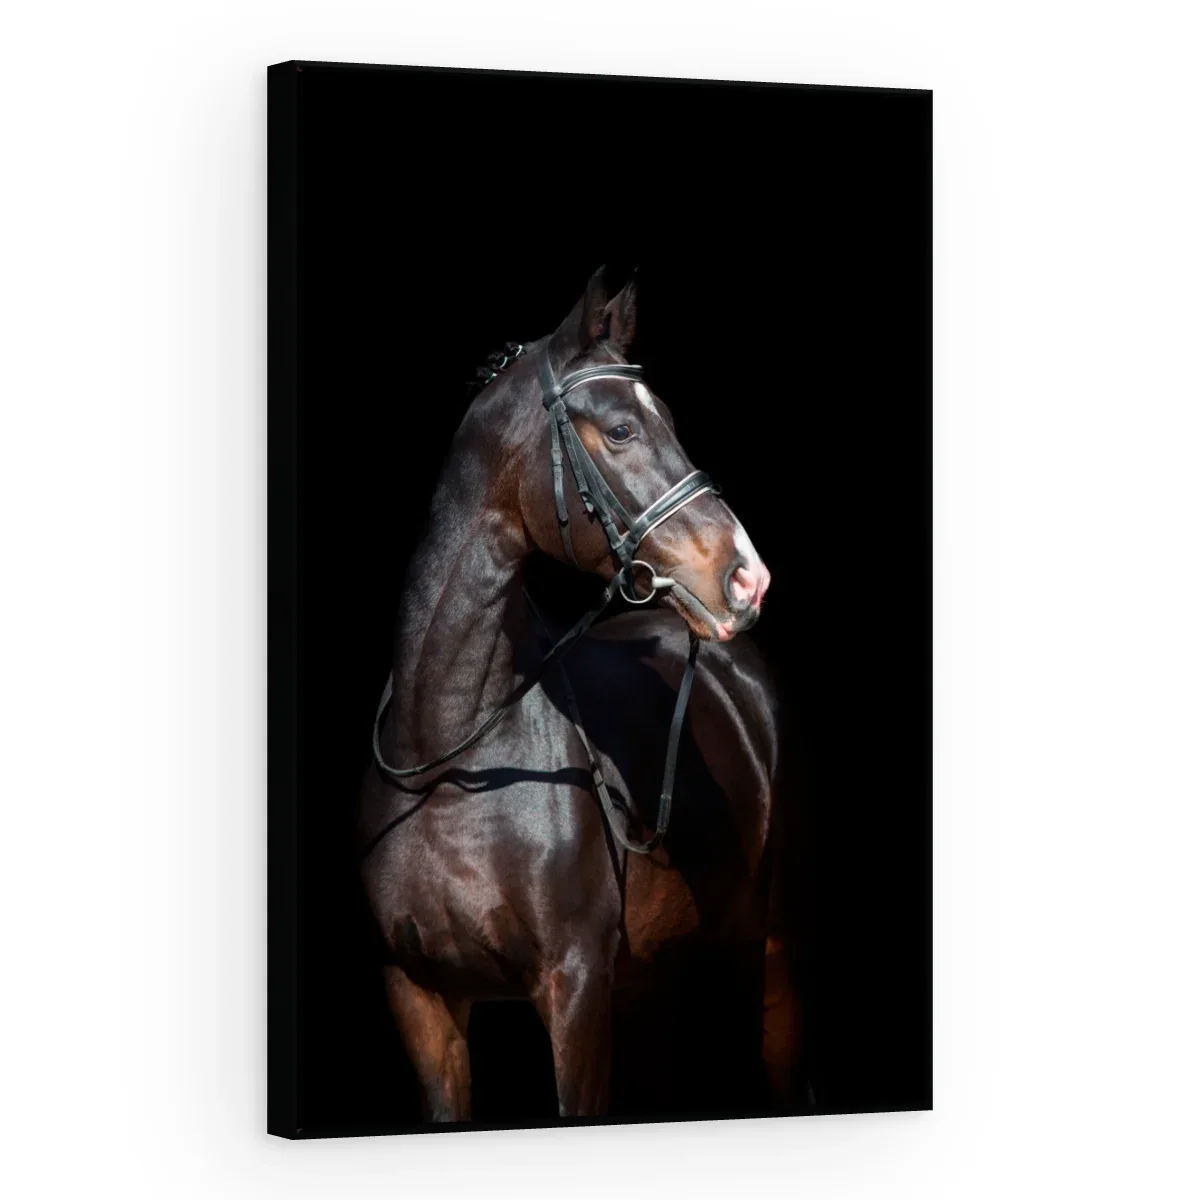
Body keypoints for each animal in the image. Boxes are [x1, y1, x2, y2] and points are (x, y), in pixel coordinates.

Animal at [357, 268, 799, 1121]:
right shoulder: (419, 998)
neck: (448, 760)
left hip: (765, 949)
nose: (746, 578)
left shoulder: (576, 990)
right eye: (621, 430)